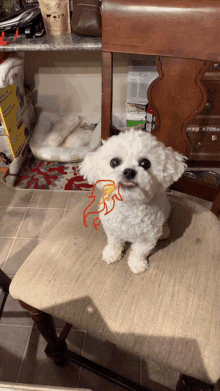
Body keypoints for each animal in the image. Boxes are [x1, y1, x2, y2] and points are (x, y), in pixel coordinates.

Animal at [79, 130, 186, 274]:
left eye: (145, 163)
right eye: (114, 162)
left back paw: (164, 231)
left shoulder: (147, 238)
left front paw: (137, 264)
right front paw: (111, 254)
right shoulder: (112, 230)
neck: (129, 204)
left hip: (166, 210)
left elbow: (139, 252)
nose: (129, 171)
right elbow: (114, 243)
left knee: (165, 221)